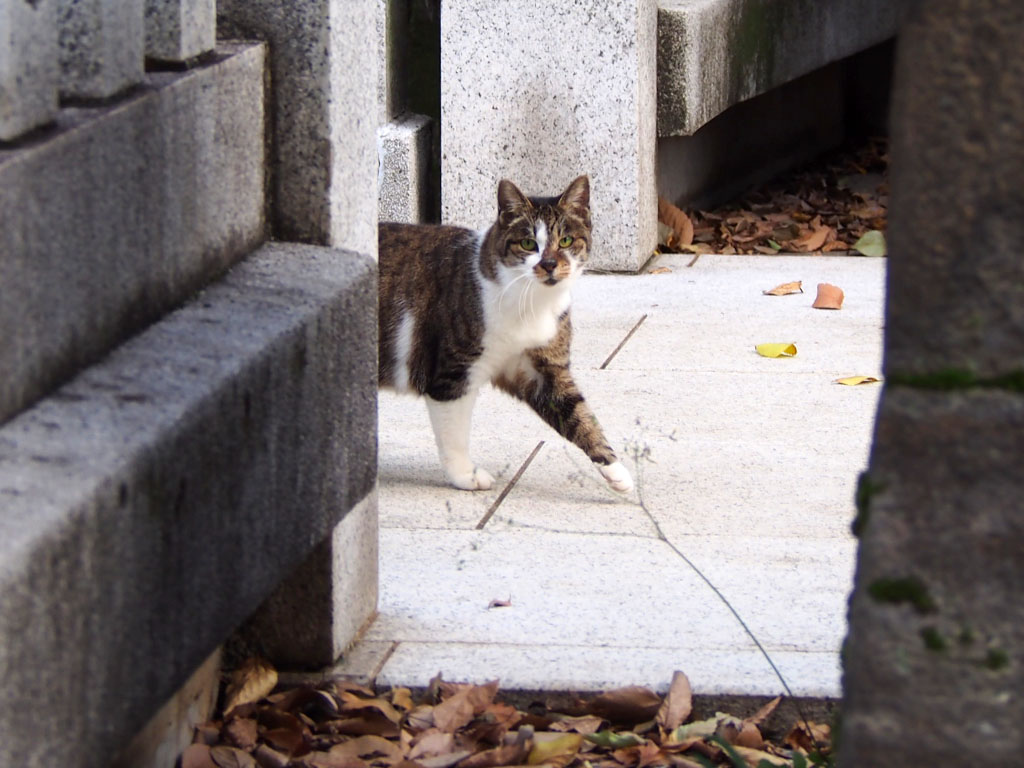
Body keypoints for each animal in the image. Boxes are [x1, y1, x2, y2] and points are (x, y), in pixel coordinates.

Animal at [378, 175, 630, 495]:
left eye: (566, 240)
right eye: (528, 243)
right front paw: (466, 476)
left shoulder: (542, 372)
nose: (548, 264)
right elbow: (454, 434)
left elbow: (580, 416)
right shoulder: (454, 374)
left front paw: (616, 470)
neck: (531, 304)